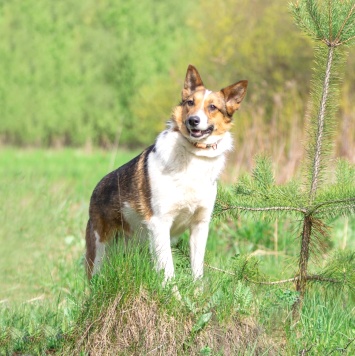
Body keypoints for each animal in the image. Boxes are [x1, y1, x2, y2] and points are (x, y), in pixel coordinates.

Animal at [86, 63, 248, 280]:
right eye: (190, 103)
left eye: (212, 107)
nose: (193, 120)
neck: (194, 157)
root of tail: (97, 187)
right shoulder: (160, 224)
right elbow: (168, 272)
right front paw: (174, 291)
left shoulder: (200, 225)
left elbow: (197, 271)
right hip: (99, 250)